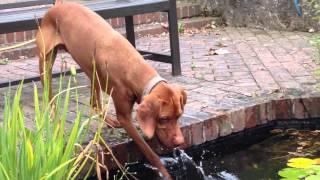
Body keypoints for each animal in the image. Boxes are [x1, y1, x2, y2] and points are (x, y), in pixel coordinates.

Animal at [36, 1, 186, 179]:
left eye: (179, 116)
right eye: (163, 119)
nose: (180, 142)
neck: (132, 67)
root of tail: (59, 5)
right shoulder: (124, 117)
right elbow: (148, 151)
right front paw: (164, 172)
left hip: (91, 71)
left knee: (94, 102)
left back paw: (108, 120)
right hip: (46, 61)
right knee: (50, 94)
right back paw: (55, 119)